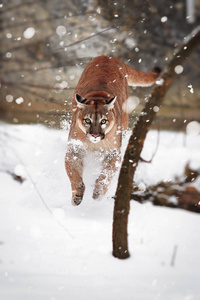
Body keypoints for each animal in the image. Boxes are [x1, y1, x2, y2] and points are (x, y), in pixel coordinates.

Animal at [65, 56, 160, 205]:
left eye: (103, 121)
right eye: (87, 120)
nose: (95, 134)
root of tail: (109, 57)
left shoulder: (113, 152)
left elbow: (106, 175)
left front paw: (98, 192)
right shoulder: (75, 149)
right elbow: (73, 173)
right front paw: (77, 195)